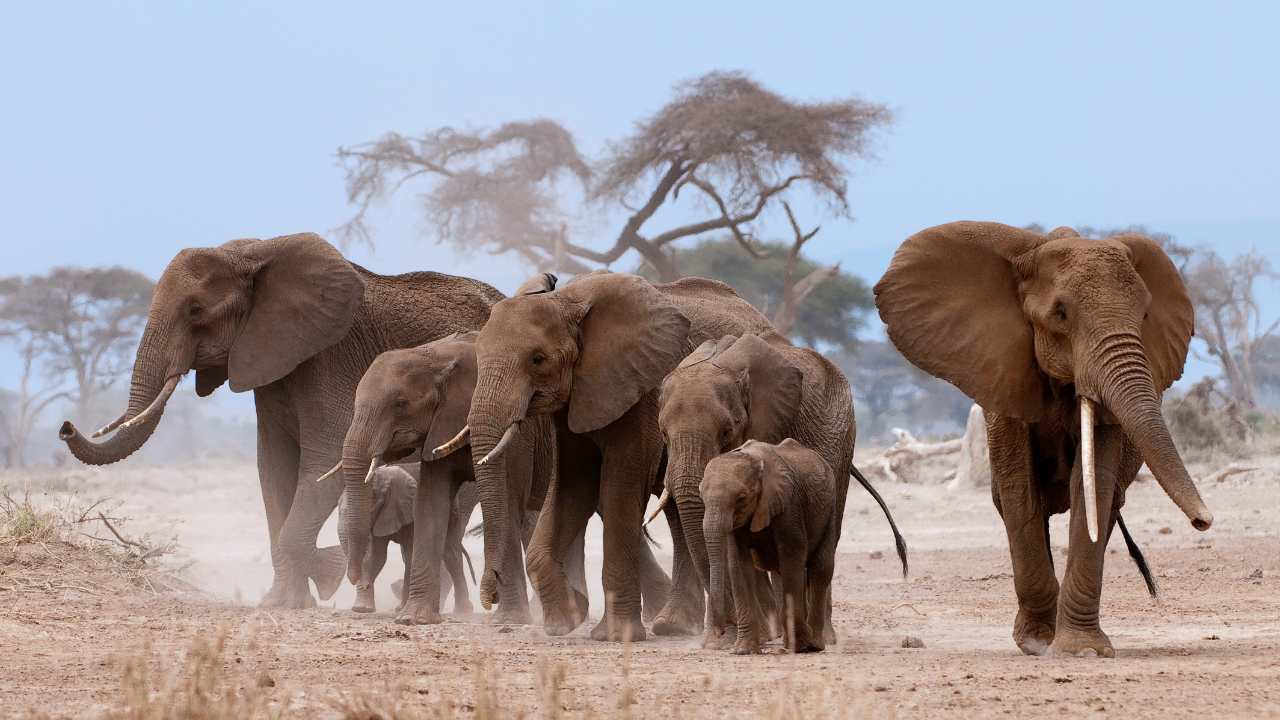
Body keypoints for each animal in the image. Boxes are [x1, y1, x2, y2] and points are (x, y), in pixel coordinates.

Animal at [336, 465, 478, 615]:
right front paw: (361, 609)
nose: (353, 580)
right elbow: (376, 556)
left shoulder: (410, 509)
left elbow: (411, 553)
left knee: (451, 553)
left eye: (370, 508)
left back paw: (463, 611)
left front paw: (400, 609)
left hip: (452, 510)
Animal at [460, 271, 776, 641]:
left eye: (537, 359)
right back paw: (674, 626)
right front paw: (566, 618)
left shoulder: (640, 387)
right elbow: (574, 485)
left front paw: (615, 635)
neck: (567, 301)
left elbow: (619, 487)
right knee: (678, 511)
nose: (490, 594)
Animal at [701, 439, 837, 654]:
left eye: (741, 498)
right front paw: (743, 651)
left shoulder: (789, 505)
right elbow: (739, 565)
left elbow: (792, 558)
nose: (720, 632)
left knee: (820, 567)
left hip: (829, 508)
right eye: (701, 496)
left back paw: (814, 645)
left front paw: (801, 647)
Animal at [874, 221, 1214, 657]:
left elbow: (1093, 487)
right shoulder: (1003, 373)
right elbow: (1020, 492)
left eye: (1144, 314)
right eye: (1061, 314)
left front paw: (1082, 650)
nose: (1203, 521)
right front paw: (1038, 642)